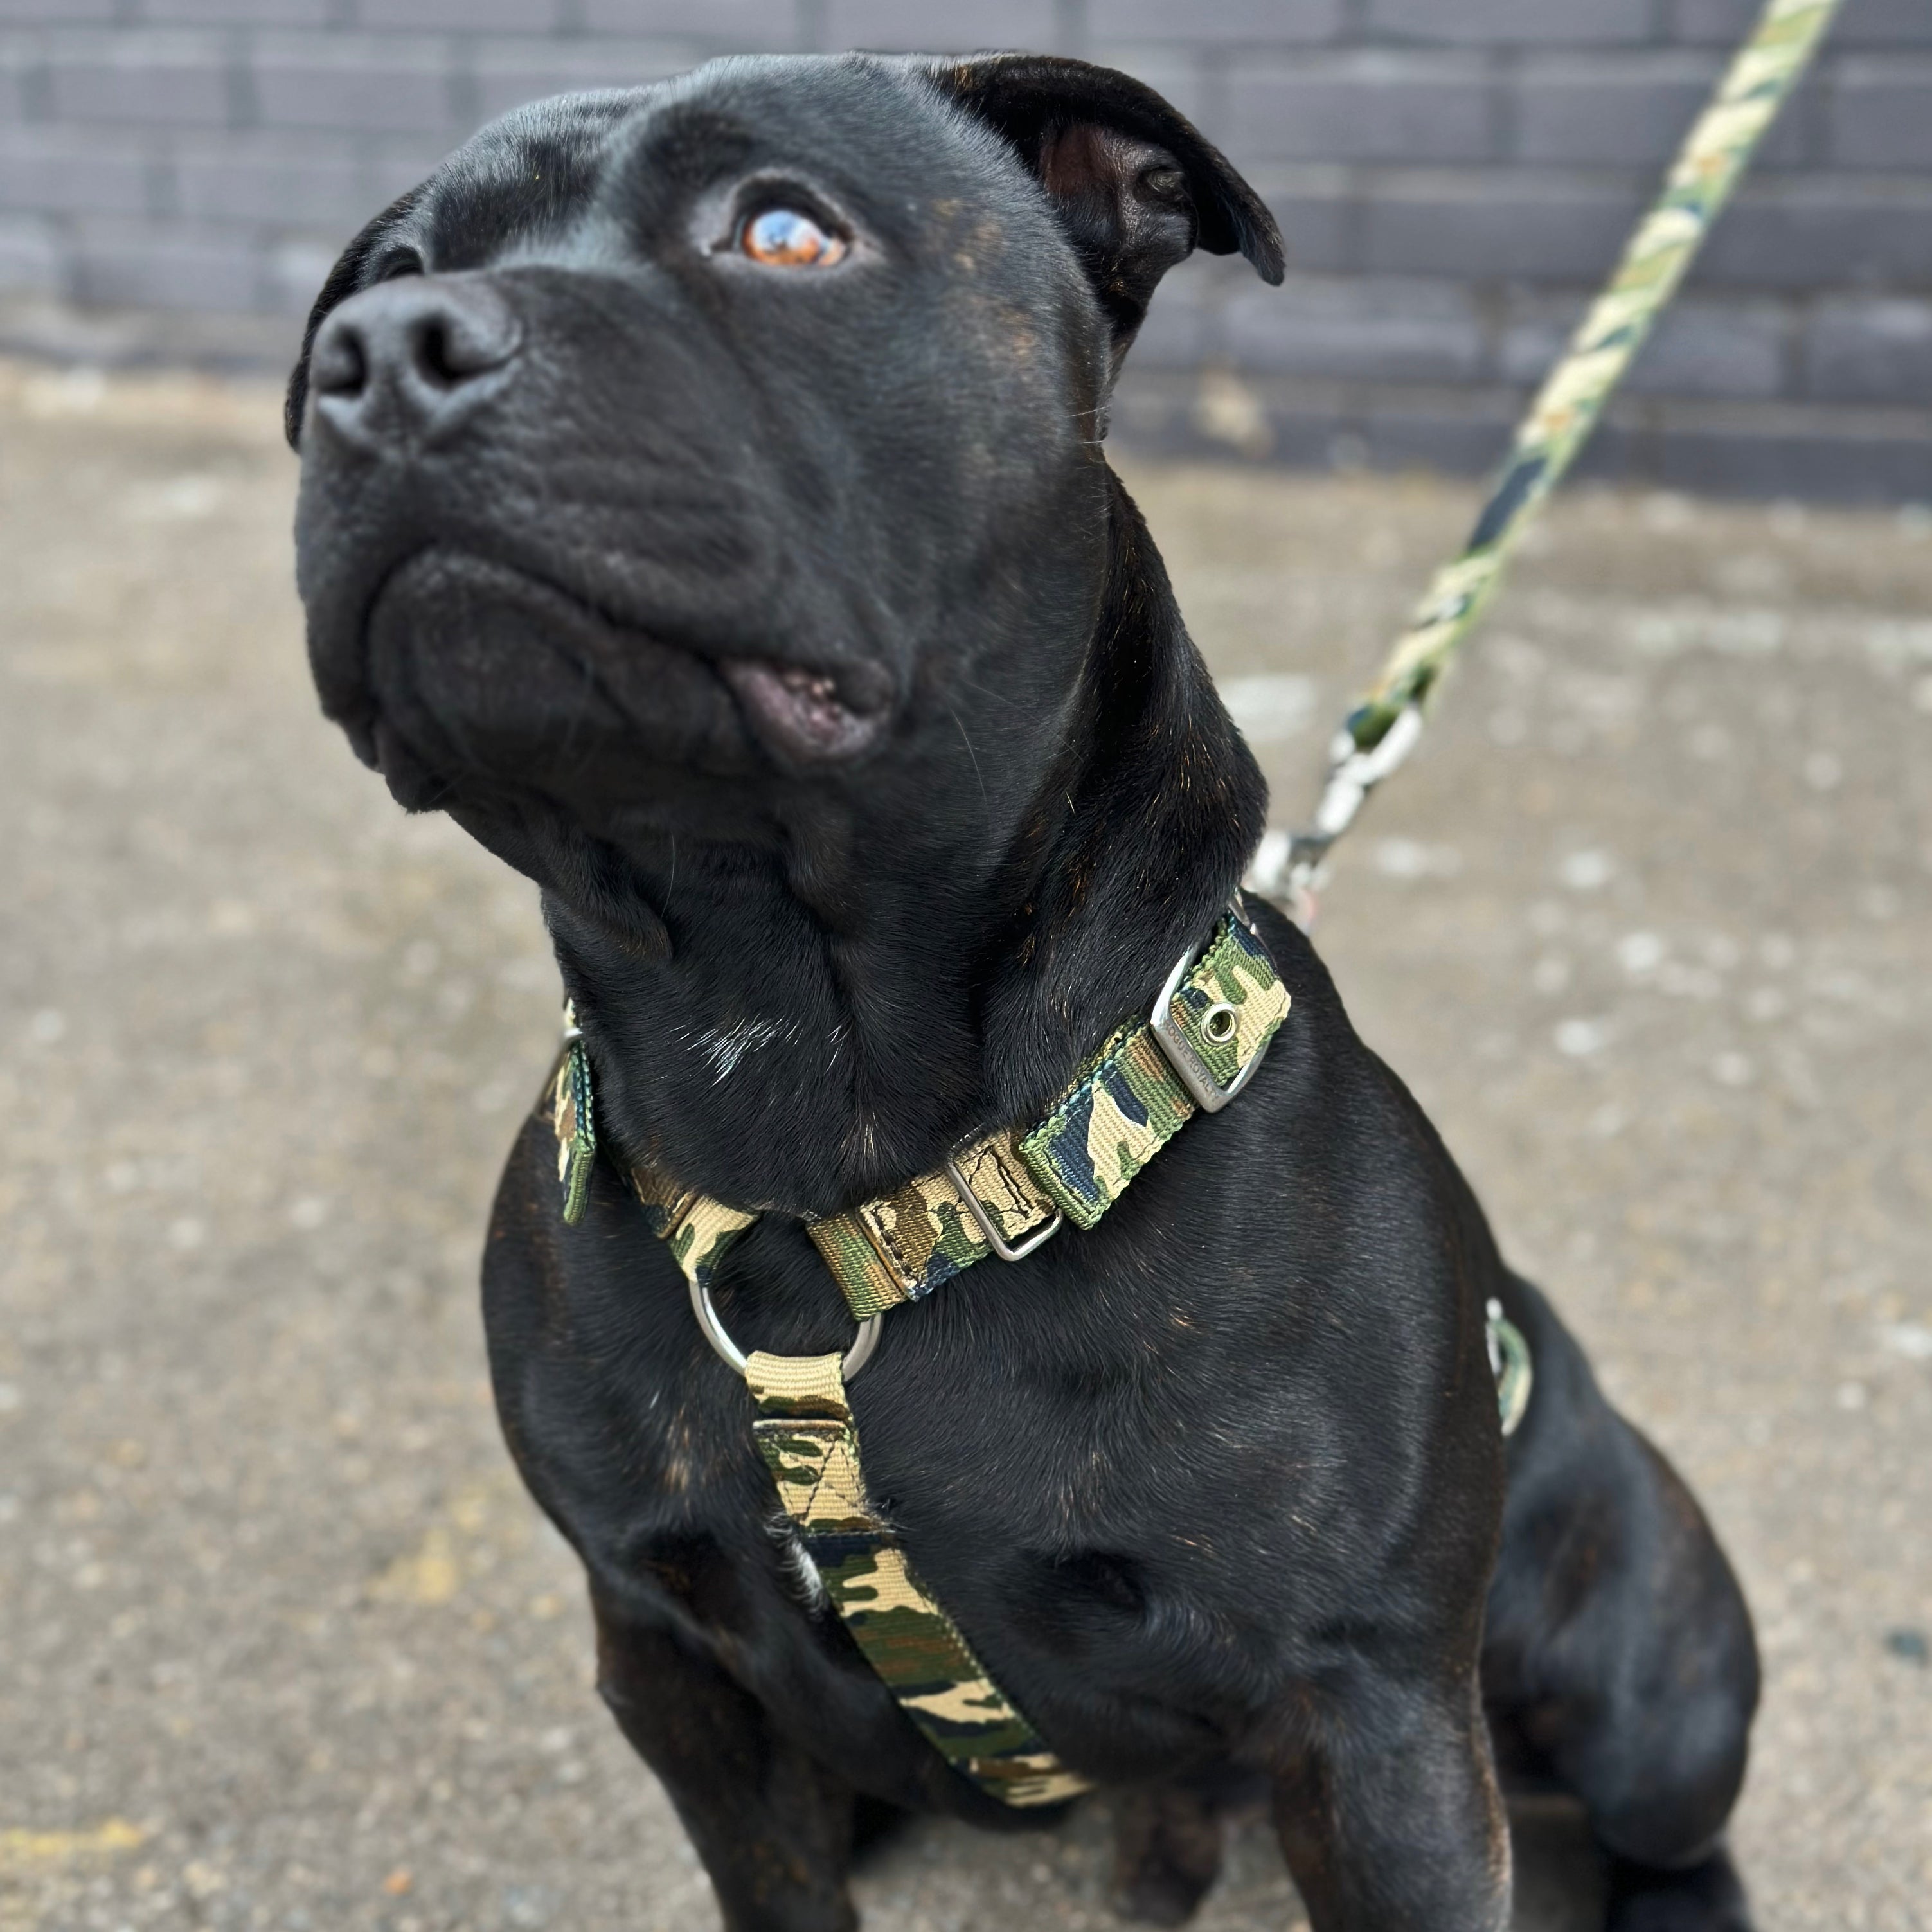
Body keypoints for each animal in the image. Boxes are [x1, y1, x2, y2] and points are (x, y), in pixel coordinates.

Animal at [289, 56, 1769, 1932]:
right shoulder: (669, 1656)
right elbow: (774, 1881)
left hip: (1642, 1676)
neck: (794, 1063)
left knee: (1669, 1813)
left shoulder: (1375, 1718)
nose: (386, 347)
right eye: (387, 270)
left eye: (784, 230)